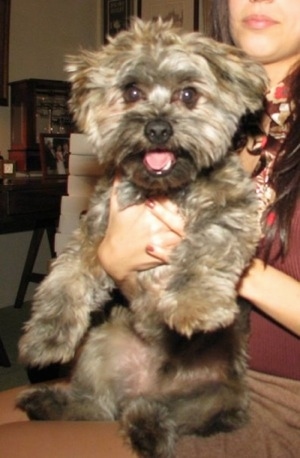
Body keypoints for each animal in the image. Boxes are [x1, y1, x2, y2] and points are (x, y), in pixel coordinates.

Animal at [17, 18, 268, 458]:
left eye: (189, 94)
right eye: (132, 91)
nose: (157, 127)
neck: (164, 189)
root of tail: (146, 385)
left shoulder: (230, 210)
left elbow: (204, 249)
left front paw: (194, 304)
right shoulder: (96, 235)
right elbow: (64, 280)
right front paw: (45, 337)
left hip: (215, 399)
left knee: (159, 413)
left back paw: (147, 429)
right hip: (101, 345)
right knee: (99, 405)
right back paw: (49, 401)